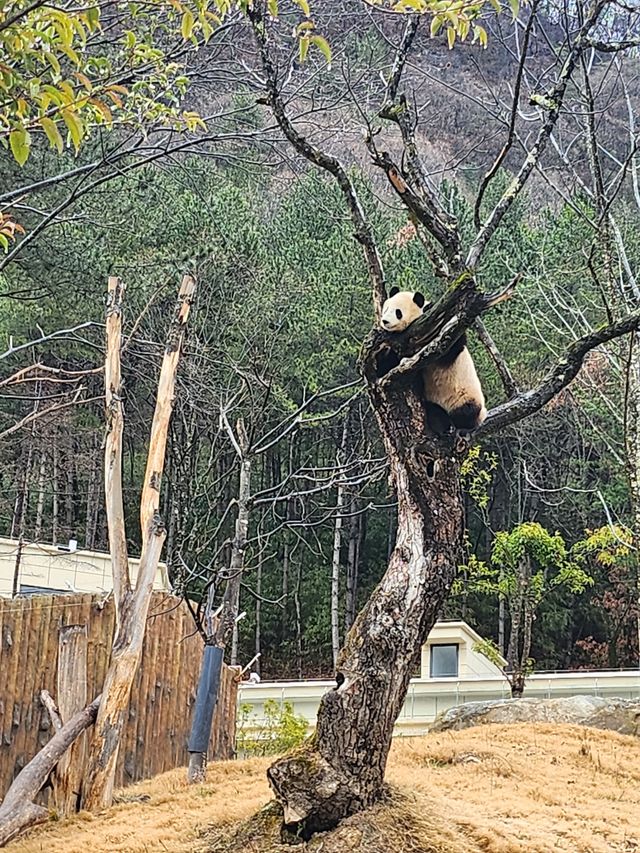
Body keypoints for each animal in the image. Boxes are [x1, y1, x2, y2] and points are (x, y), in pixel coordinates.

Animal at [380, 288, 484, 432]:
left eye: (398, 312)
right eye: (385, 309)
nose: (385, 321)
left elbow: (451, 347)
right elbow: (389, 363)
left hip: (466, 396)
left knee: (466, 412)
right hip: (433, 399)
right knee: (434, 412)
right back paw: (442, 426)